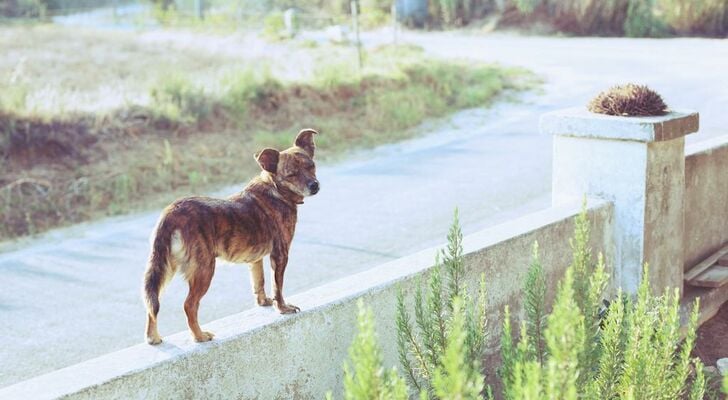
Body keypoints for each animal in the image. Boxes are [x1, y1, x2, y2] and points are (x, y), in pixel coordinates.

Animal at [144, 128, 320, 344]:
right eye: (292, 175)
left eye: (311, 166)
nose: (314, 185)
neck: (276, 189)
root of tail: (171, 211)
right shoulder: (280, 255)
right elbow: (277, 286)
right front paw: (282, 308)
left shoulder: (256, 260)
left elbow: (259, 282)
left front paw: (263, 302)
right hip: (203, 270)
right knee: (189, 305)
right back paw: (199, 336)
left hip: (163, 269)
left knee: (152, 305)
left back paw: (153, 337)